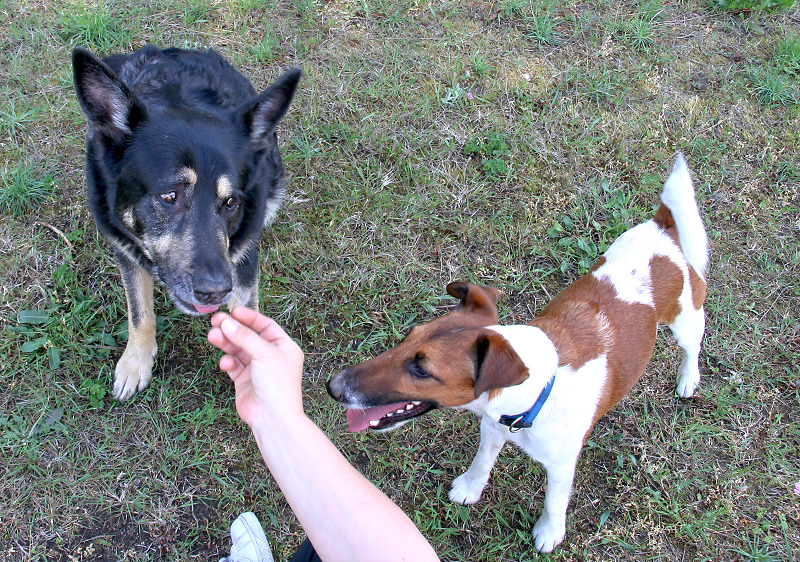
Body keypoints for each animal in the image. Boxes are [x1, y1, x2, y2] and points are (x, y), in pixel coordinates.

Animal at [72, 47, 300, 398]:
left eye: (231, 202)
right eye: (170, 196)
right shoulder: (125, 250)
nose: (215, 292)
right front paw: (135, 362)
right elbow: (139, 312)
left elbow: (246, 311)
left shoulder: (243, 259)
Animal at [328, 154, 708, 552]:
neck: (539, 393)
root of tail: (663, 226)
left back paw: (688, 379)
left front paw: (549, 533)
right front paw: (470, 487)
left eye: (423, 369)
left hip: (685, 319)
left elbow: (555, 501)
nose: (332, 387)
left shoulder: (561, 465)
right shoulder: (492, 428)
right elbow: (482, 462)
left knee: (693, 344)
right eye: (407, 337)